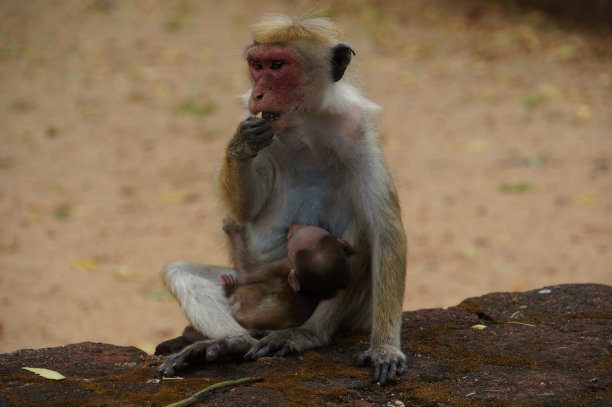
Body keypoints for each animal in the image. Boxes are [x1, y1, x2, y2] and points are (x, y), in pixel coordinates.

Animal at [220, 220, 356, 332]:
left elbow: (247, 272)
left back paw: (228, 287)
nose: (294, 226)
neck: (308, 292)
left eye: (291, 243)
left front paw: (231, 228)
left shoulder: (285, 264)